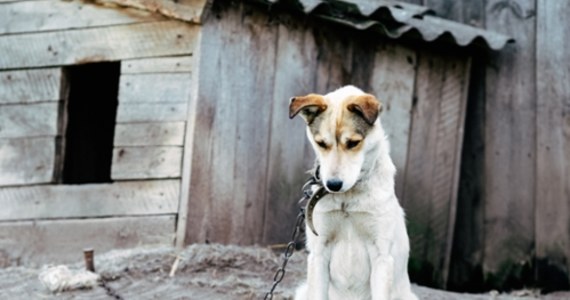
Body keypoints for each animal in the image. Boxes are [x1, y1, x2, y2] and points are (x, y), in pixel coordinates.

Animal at [288, 85, 418, 300]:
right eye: (321, 143)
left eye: (353, 143)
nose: (333, 185)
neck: (346, 201)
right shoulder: (319, 253)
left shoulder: (381, 256)